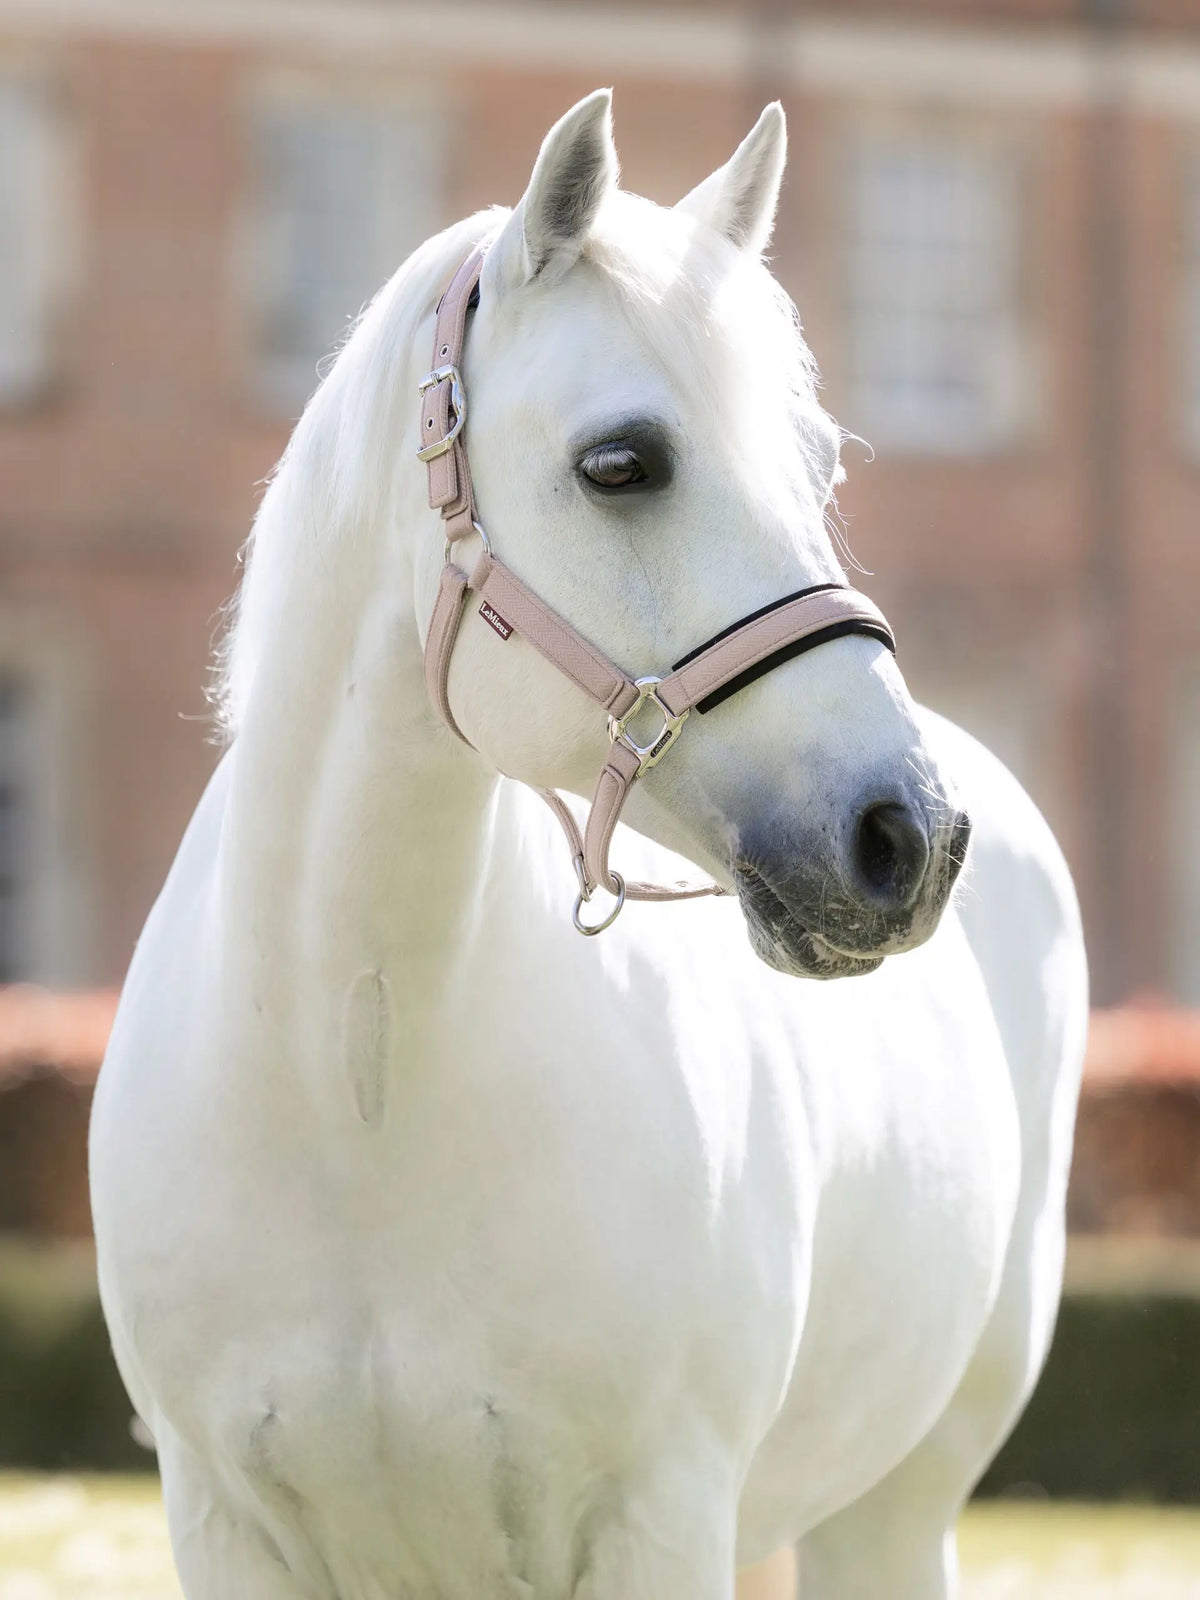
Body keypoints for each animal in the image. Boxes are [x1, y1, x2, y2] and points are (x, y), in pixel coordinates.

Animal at [89, 90, 1087, 1599]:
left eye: (819, 462)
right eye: (622, 464)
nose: (906, 838)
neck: (355, 1090)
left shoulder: (659, 1519)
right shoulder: (223, 1523)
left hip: (897, 1508)